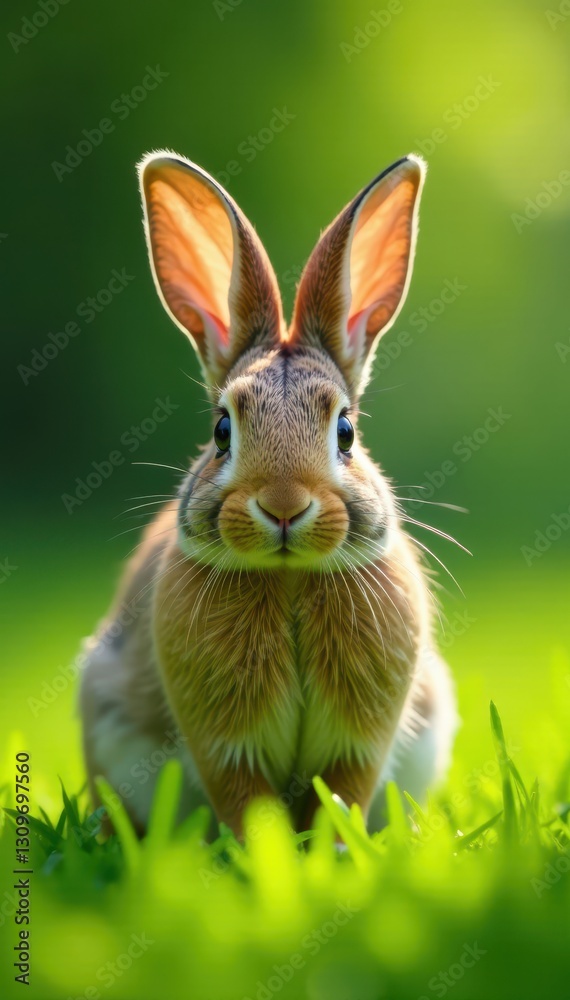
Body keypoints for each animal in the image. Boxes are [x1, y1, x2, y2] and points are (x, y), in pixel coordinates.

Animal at [79, 150, 458, 839]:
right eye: (222, 431)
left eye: (346, 431)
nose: (284, 506)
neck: (289, 577)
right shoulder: (225, 744)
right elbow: (246, 799)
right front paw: (268, 852)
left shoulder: (357, 744)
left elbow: (342, 794)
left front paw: (328, 852)